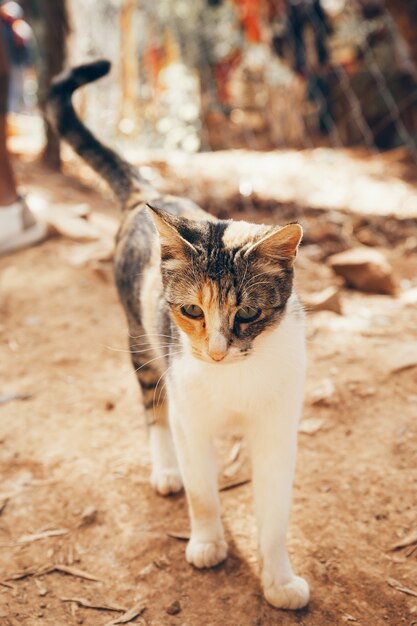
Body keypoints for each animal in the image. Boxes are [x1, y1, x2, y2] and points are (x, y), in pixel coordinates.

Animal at [48, 61, 308, 608]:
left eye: (247, 314)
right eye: (192, 310)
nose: (215, 352)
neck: (235, 379)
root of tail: (148, 192)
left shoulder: (277, 429)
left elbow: (274, 513)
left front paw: (279, 580)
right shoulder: (192, 415)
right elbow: (202, 492)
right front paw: (208, 542)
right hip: (143, 344)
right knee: (154, 410)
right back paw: (166, 471)